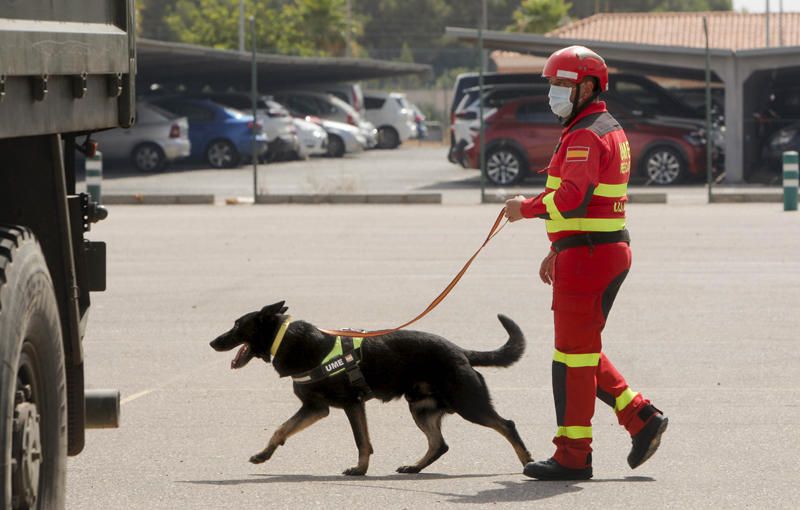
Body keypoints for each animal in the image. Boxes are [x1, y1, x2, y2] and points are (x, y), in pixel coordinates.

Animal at [209, 300, 536, 476]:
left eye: (236, 325)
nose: (212, 342)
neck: (288, 338)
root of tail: (461, 352)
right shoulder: (317, 408)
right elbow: (281, 430)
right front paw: (263, 455)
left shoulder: (347, 405)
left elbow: (361, 441)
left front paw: (359, 470)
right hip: (421, 408)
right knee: (439, 444)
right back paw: (414, 467)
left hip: (468, 404)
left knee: (506, 424)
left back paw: (527, 461)